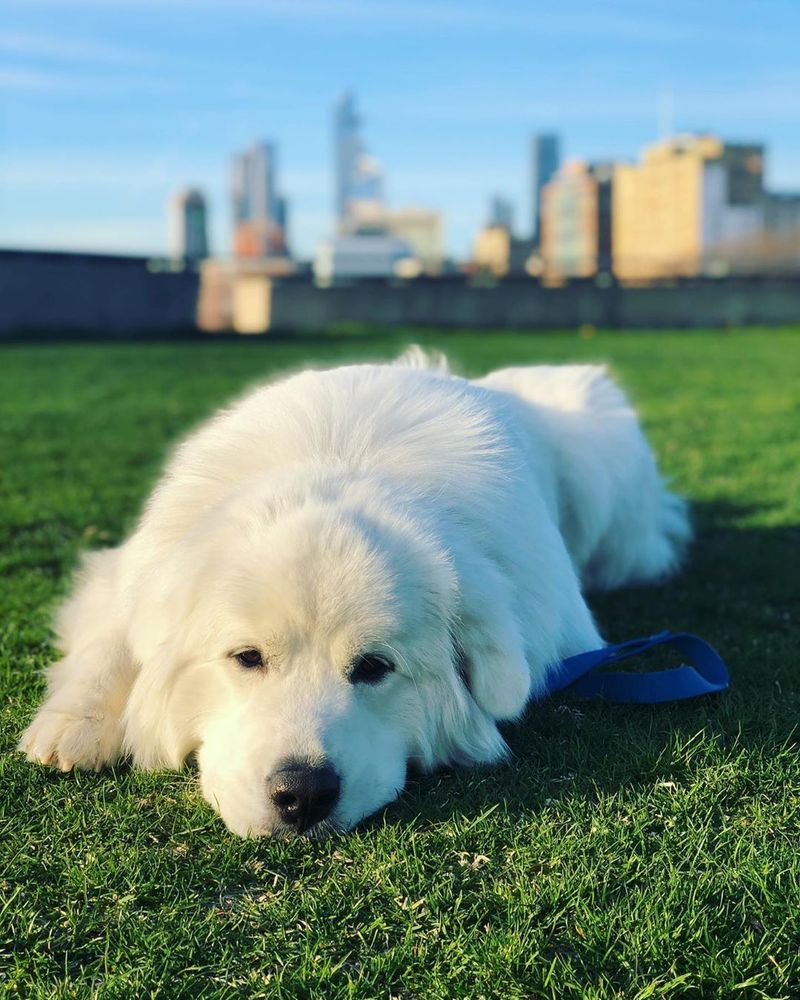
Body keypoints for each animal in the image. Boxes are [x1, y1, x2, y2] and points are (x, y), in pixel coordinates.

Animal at [21, 352, 692, 836]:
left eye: (374, 667)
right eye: (246, 658)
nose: (301, 794)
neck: (338, 461)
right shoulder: (130, 567)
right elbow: (114, 636)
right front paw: (73, 722)